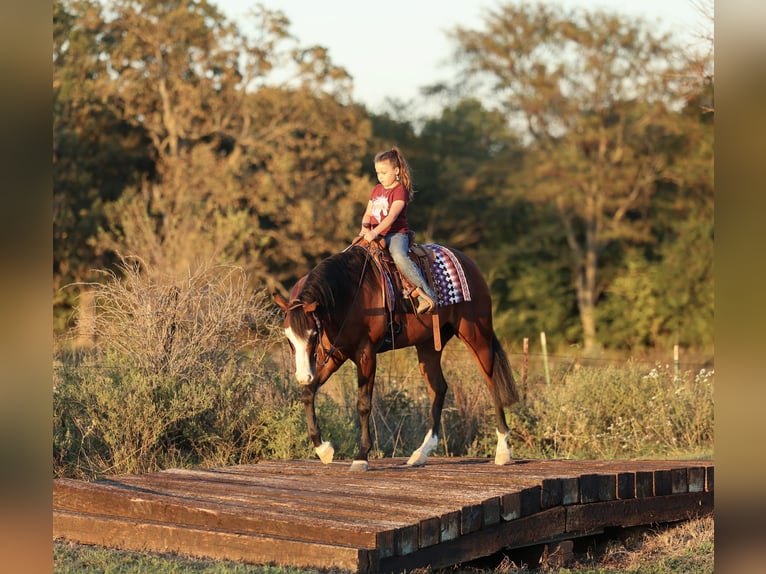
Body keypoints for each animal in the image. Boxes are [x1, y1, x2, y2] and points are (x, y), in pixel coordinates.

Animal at [272, 240, 519, 471]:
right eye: (288, 338)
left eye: (314, 334)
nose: (303, 375)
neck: (349, 294)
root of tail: (468, 263)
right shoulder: (336, 355)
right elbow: (308, 393)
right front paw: (323, 449)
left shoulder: (366, 354)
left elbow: (363, 404)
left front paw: (361, 457)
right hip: (428, 346)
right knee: (438, 389)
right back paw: (421, 453)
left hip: (477, 336)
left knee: (492, 383)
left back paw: (502, 452)